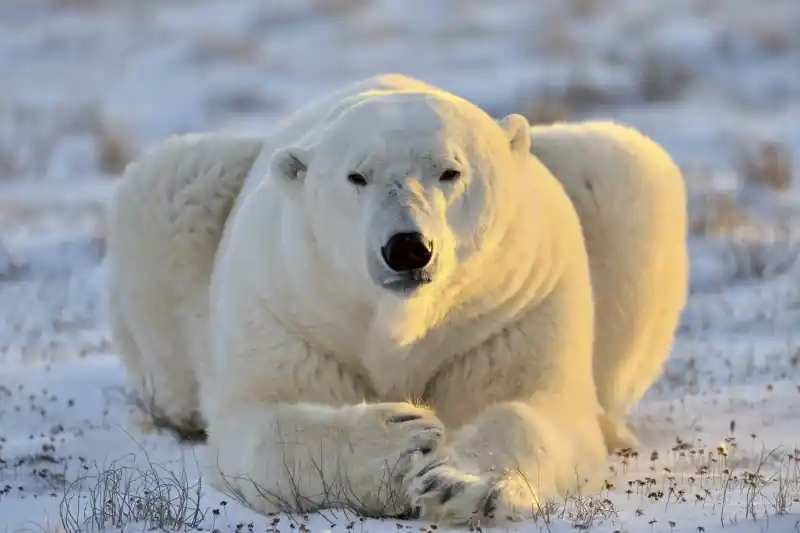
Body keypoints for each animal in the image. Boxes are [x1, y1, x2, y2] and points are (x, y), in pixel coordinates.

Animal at [105, 73, 687, 525]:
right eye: (356, 175)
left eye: (450, 171)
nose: (407, 247)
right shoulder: (286, 307)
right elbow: (261, 421)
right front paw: (404, 441)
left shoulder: (516, 306)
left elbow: (536, 406)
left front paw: (461, 486)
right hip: (185, 199)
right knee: (171, 179)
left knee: (622, 166)